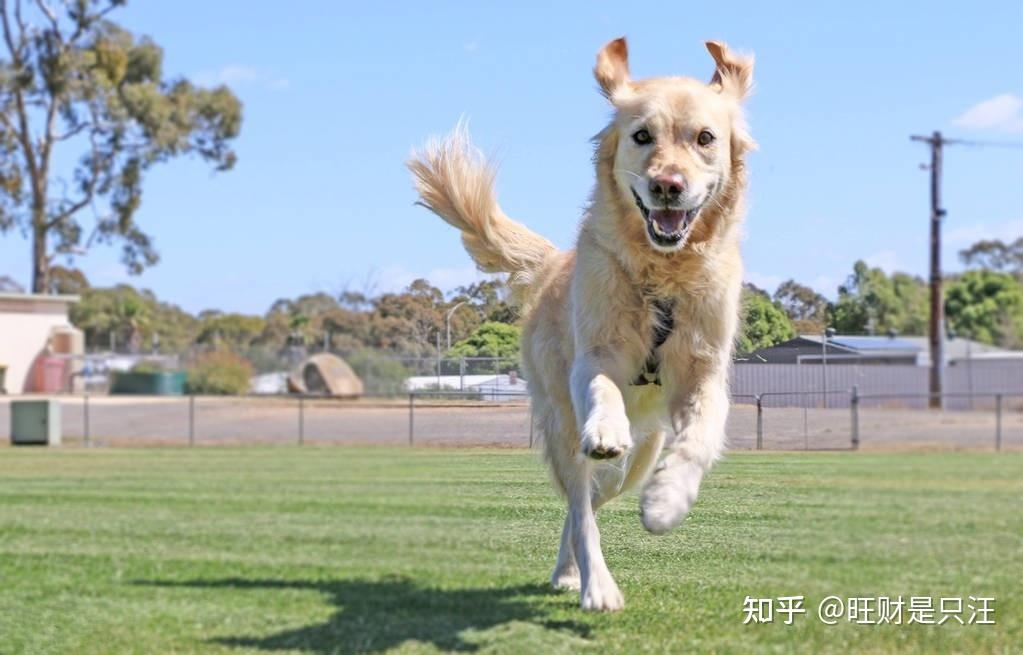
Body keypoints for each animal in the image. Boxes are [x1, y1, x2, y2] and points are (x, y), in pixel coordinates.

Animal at [407, 37, 752, 609]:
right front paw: (607, 426)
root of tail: (551, 262)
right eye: (642, 136)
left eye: (705, 138)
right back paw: (593, 584)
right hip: (561, 424)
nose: (667, 185)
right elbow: (602, 388)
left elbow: (700, 439)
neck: (661, 273)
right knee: (580, 505)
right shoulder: (595, 355)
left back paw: (575, 565)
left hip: (637, 460)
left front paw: (667, 501)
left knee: (586, 500)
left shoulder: (704, 372)